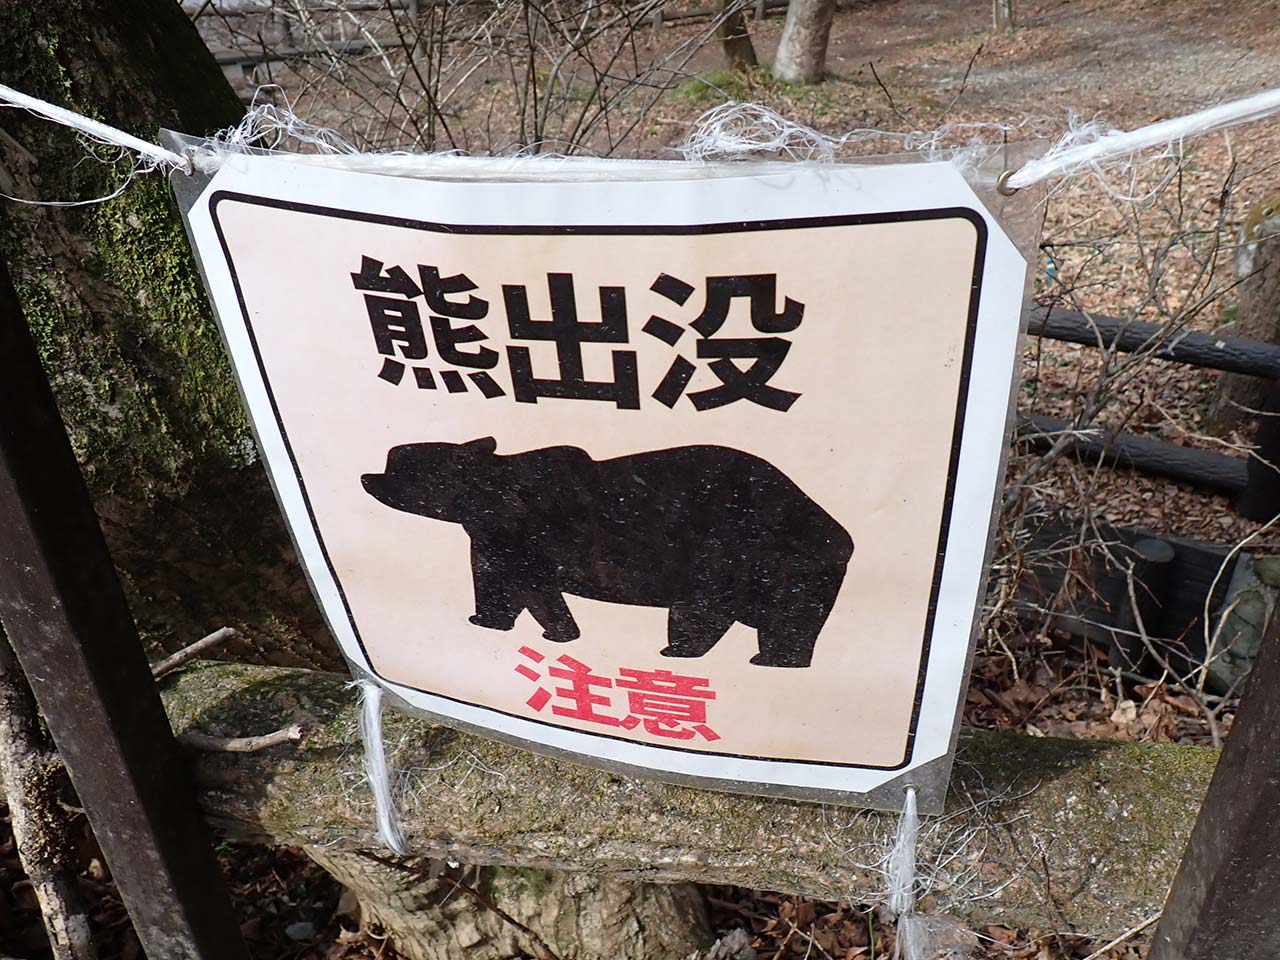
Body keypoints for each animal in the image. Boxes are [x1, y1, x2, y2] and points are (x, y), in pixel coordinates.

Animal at [361, 438, 853, 668]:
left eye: (399, 462)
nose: (367, 475)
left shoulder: (519, 534)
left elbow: (527, 588)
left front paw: (549, 630)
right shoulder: (493, 538)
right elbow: (504, 585)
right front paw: (494, 621)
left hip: (746, 548)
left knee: (716, 608)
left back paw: (684, 651)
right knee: (786, 623)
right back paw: (771, 659)